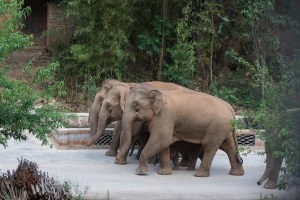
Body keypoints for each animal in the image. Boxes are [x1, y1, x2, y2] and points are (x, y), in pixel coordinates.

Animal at [115, 83, 244, 177]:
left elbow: (161, 139)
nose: (119, 162)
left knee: (209, 145)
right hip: (224, 127)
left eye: (136, 104)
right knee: (229, 147)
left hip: (217, 126)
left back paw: (199, 174)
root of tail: (231, 109)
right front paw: (164, 173)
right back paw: (237, 173)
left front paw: (141, 172)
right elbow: (164, 143)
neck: (157, 90)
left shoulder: (165, 116)